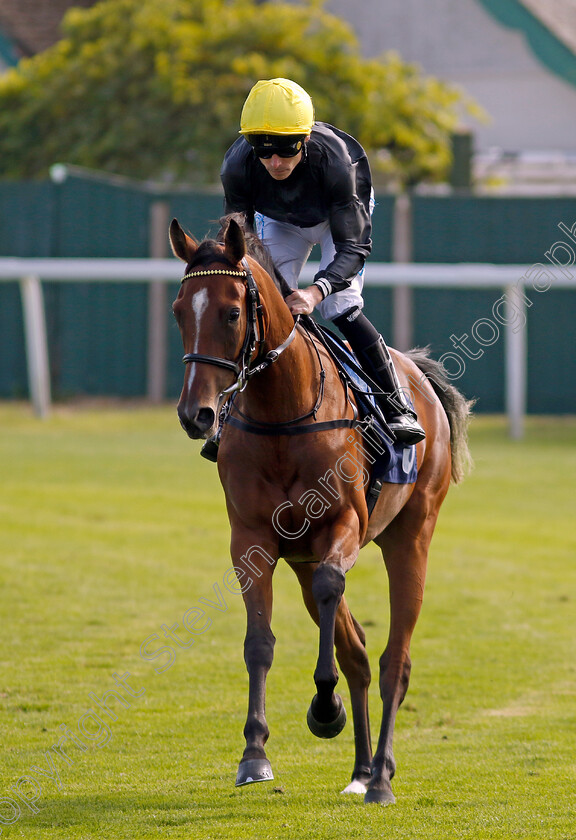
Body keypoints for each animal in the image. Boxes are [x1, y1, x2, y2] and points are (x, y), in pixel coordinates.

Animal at [168, 213, 472, 804]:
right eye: (178, 310)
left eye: (232, 312)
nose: (197, 414)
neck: (283, 414)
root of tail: (420, 375)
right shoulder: (253, 539)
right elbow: (259, 642)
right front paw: (254, 754)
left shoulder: (343, 524)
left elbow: (337, 592)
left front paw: (324, 707)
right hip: (302, 560)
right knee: (357, 653)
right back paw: (361, 771)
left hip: (411, 536)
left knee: (395, 659)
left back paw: (381, 776)